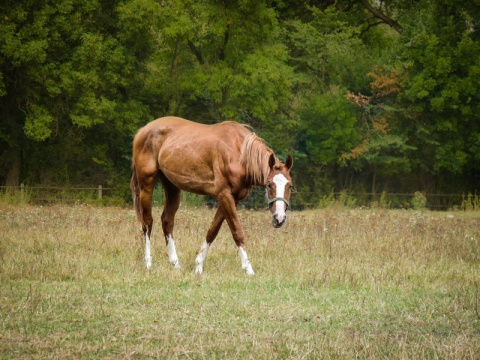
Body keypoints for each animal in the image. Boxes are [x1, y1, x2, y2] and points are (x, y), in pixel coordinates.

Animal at [129, 116, 292, 274]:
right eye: (269, 184)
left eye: (290, 185)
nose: (279, 218)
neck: (239, 153)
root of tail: (142, 131)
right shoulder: (224, 195)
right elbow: (237, 231)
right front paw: (248, 269)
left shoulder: (233, 198)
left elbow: (213, 230)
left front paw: (198, 265)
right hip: (146, 185)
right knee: (147, 223)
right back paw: (148, 263)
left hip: (172, 187)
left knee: (167, 220)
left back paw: (175, 264)